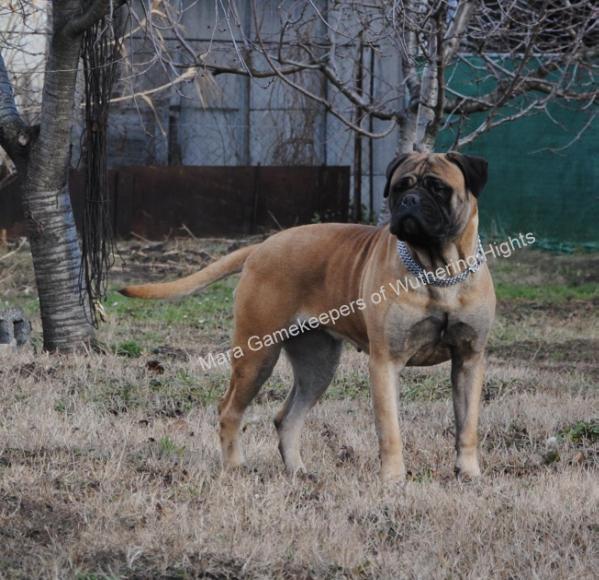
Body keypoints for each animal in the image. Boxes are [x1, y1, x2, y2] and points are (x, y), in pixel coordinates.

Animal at [119, 152, 494, 482]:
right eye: (401, 186)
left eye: (438, 187)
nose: (410, 201)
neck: (440, 270)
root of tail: (261, 247)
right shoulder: (385, 362)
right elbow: (390, 428)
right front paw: (393, 479)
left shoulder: (469, 359)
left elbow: (468, 425)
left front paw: (469, 473)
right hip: (256, 354)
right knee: (229, 410)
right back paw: (236, 467)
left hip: (317, 364)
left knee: (286, 417)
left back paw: (298, 472)